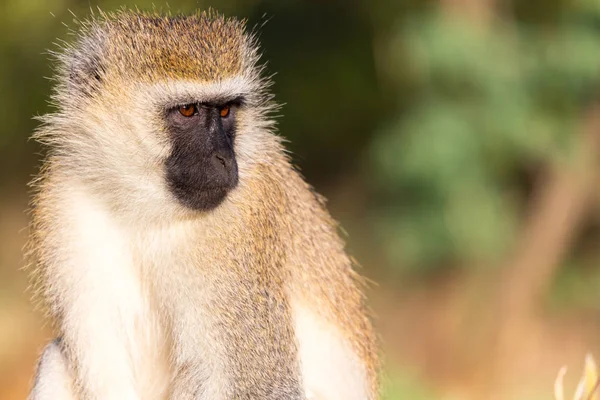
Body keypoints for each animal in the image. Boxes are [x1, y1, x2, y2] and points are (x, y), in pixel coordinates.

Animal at [28, 9, 380, 400]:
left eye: (225, 110)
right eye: (187, 110)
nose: (224, 159)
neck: (146, 207)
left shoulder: (240, 226)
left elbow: (261, 384)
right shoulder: (64, 200)